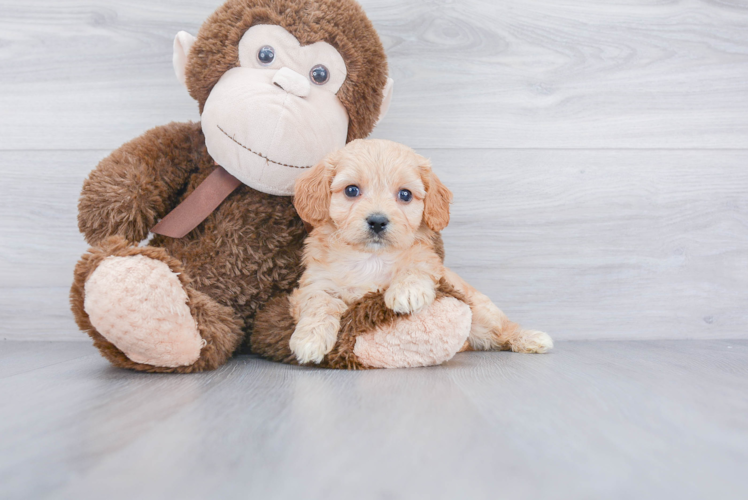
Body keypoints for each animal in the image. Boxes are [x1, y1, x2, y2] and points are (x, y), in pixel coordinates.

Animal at [290, 139, 552, 366]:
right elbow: (319, 303)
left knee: (503, 329)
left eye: (405, 194)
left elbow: (418, 262)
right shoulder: (315, 283)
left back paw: (531, 338)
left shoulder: (428, 259)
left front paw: (407, 291)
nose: (377, 221)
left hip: (481, 312)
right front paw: (310, 339)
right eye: (351, 190)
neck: (371, 258)